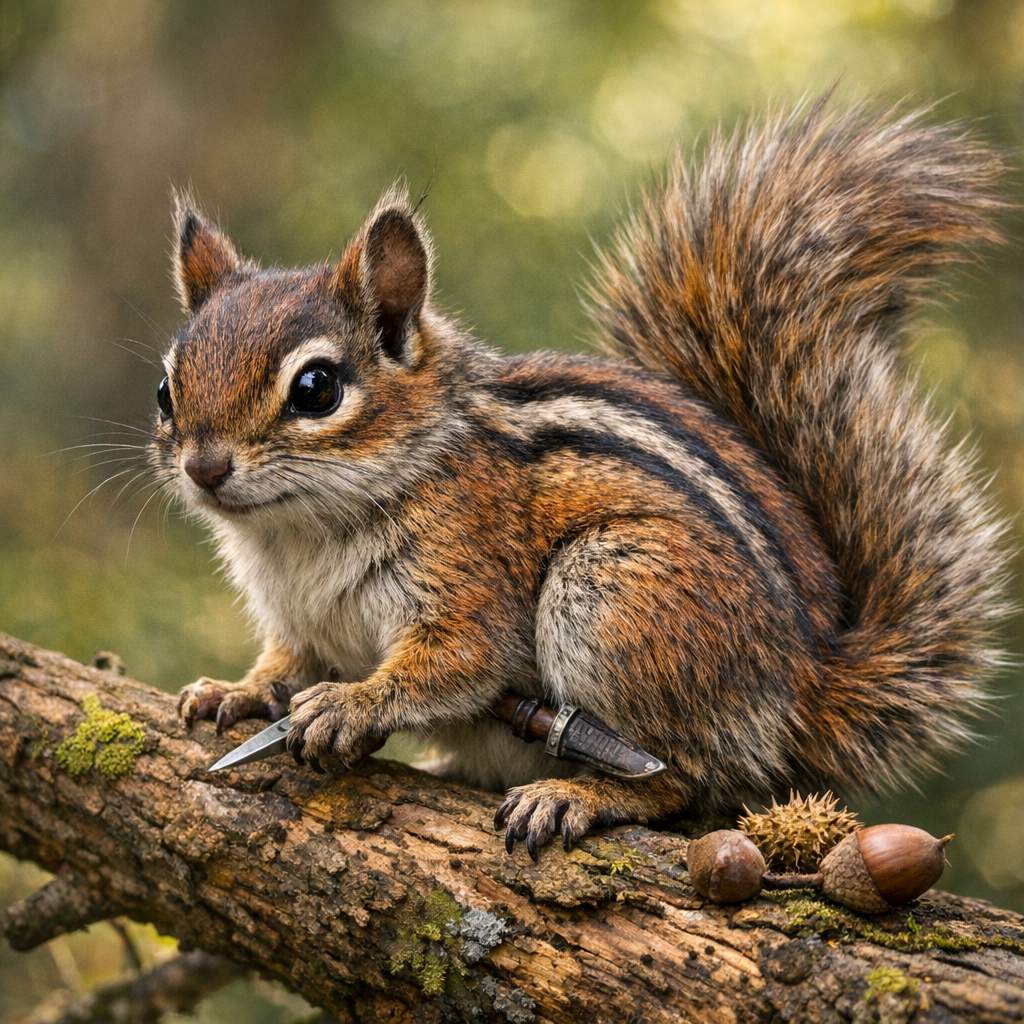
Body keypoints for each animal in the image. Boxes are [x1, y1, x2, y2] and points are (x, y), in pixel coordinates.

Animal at [159, 99, 1009, 859]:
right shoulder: (298, 621)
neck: (296, 531)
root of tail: (803, 687)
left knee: (687, 780)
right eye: (167, 389)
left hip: (615, 596)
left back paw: (577, 795)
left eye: (317, 389)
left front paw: (353, 702)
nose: (204, 467)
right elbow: (285, 663)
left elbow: (454, 661)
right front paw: (235, 691)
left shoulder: (471, 580)